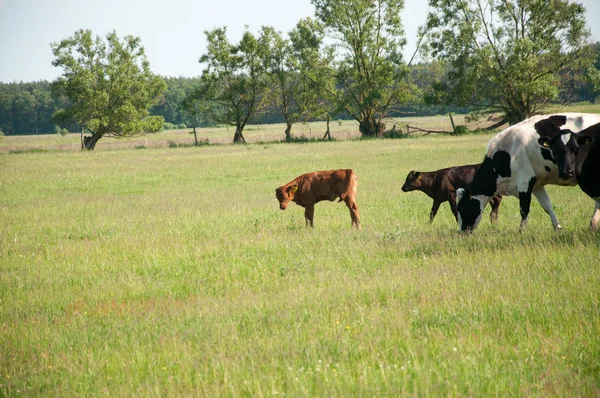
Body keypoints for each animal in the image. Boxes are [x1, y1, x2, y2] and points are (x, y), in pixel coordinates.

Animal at [454, 112, 600, 233]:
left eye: (461, 208)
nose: (461, 231)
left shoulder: (525, 181)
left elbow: (524, 208)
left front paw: (522, 232)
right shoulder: (537, 185)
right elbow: (547, 206)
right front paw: (557, 228)